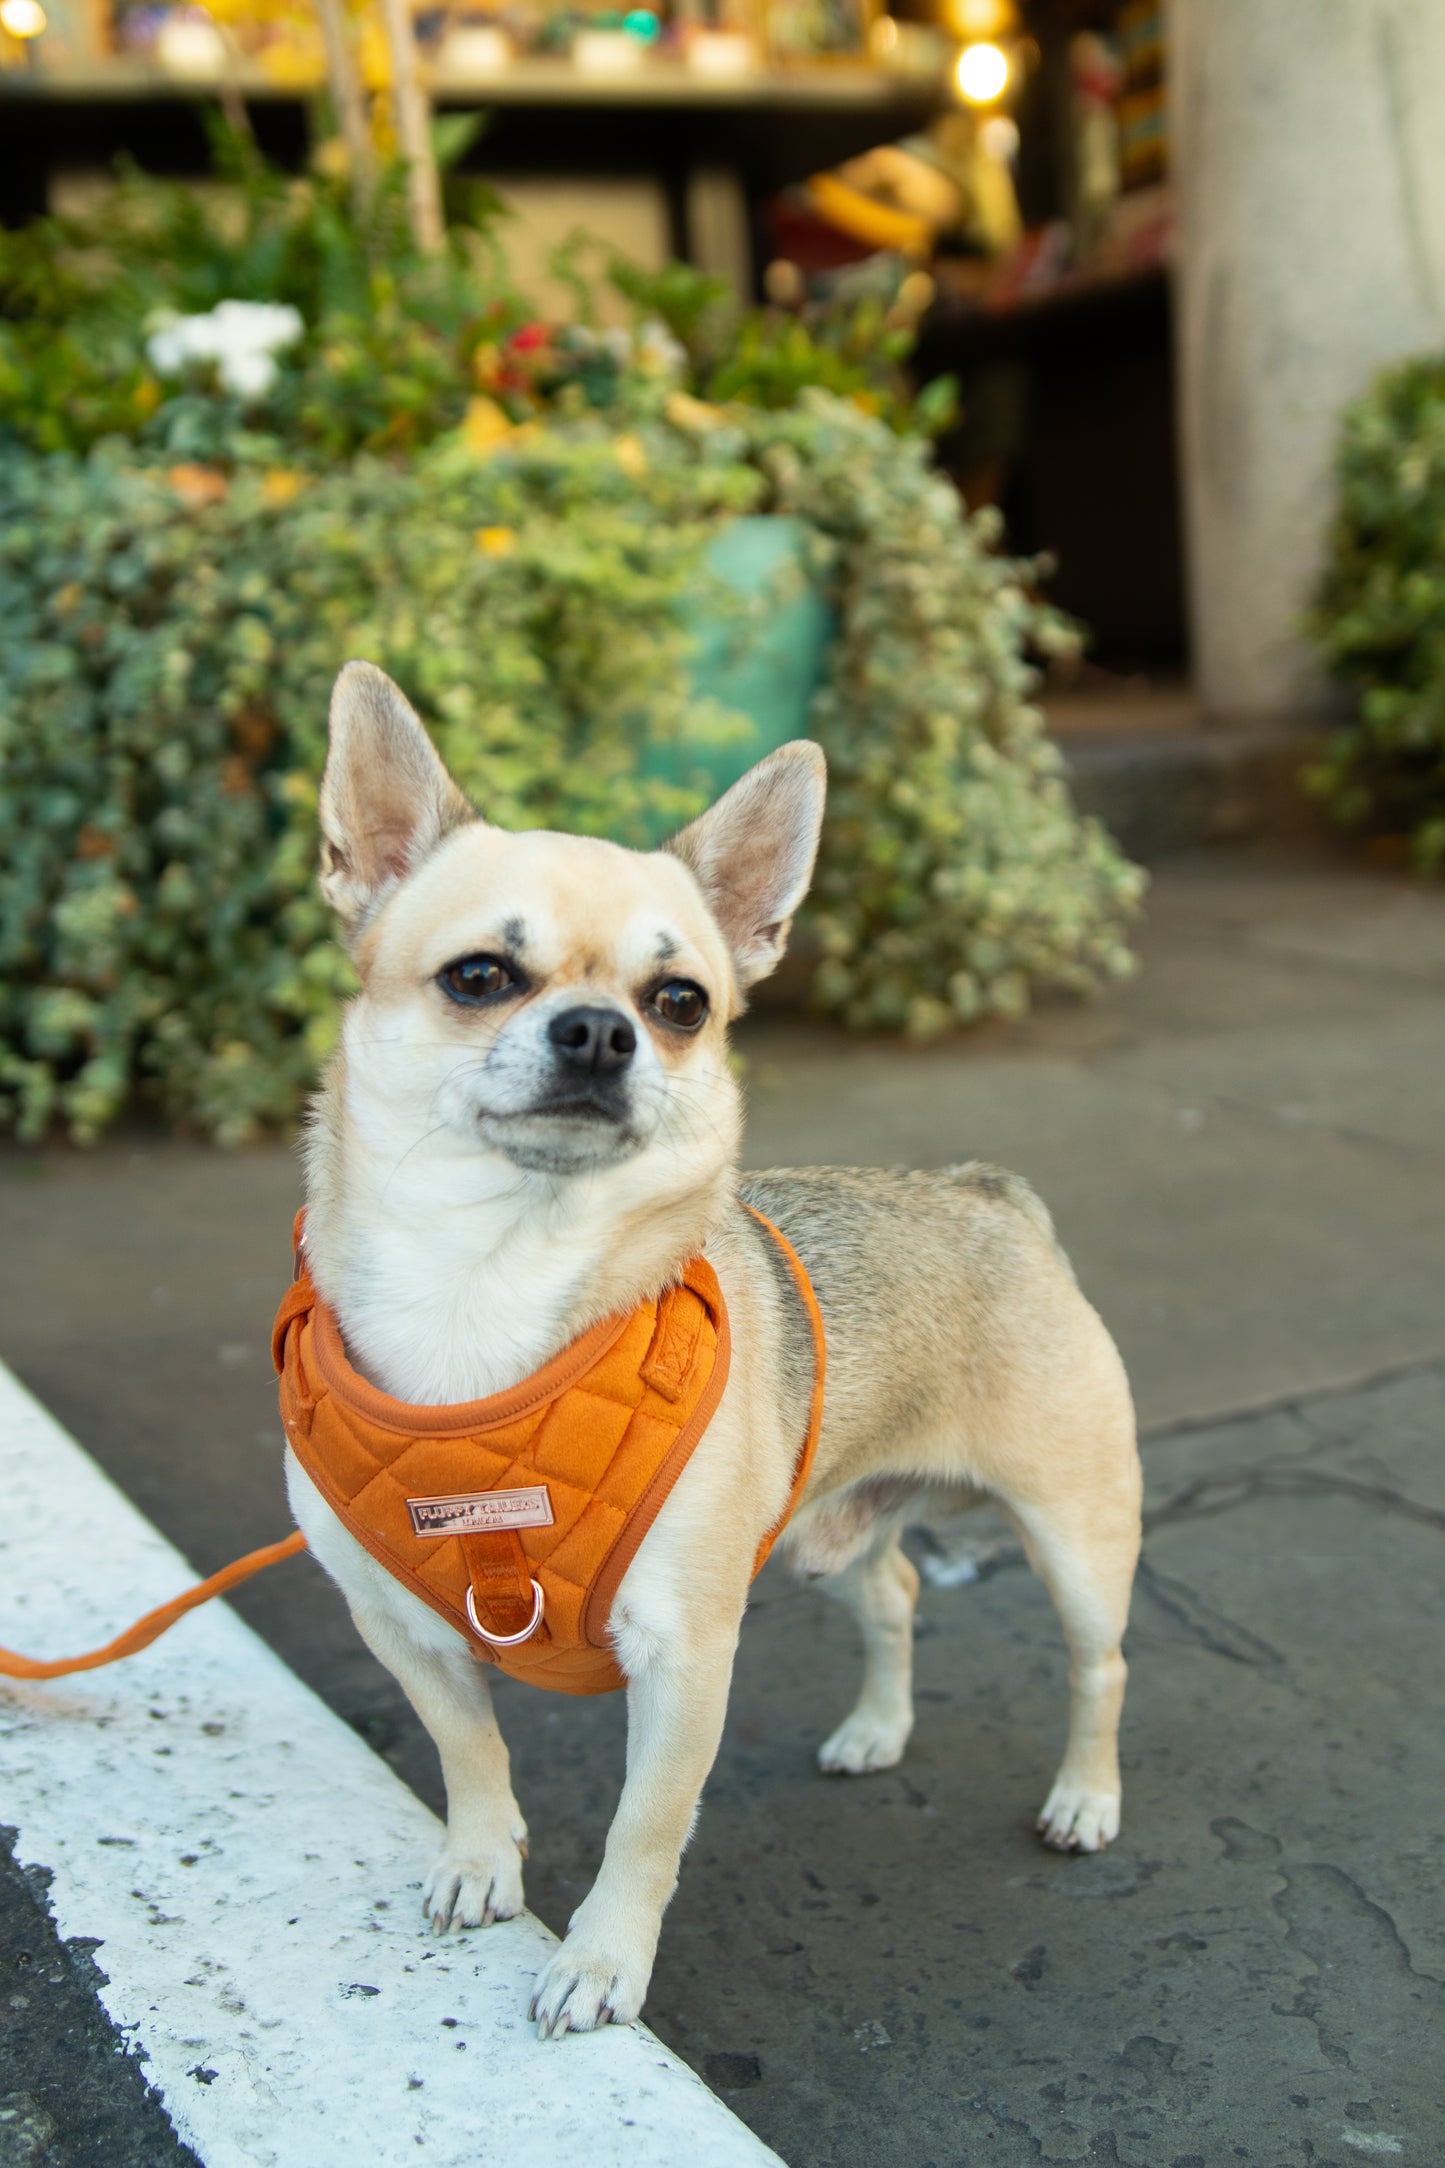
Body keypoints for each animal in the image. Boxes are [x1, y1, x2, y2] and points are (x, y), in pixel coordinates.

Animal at [290, 654, 1143, 2029]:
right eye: (478, 977)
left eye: (680, 1002)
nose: (602, 1029)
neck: (490, 1276)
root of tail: (987, 1194)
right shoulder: (400, 1625)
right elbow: (467, 1746)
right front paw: (479, 1859)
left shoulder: (685, 1653)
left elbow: (646, 1822)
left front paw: (598, 1959)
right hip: (830, 1525)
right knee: (893, 1594)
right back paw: (876, 1729)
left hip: (1075, 1539)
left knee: (1098, 1666)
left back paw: (1085, 1795)